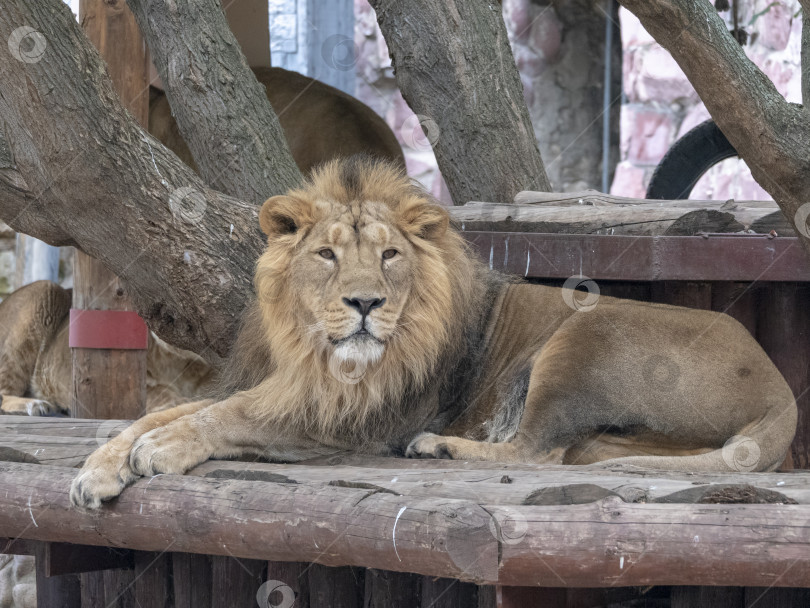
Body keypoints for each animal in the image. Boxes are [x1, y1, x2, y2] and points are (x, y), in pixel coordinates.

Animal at [69, 157, 796, 508]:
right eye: (326, 255)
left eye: (390, 255)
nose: (366, 302)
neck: (316, 351)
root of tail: (780, 389)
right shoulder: (278, 383)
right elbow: (163, 413)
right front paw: (98, 471)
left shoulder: (348, 417)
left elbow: (226, 419)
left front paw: (162, 451)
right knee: (570, 454)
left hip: (587, 331)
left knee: (535, 453)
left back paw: (436, 447)